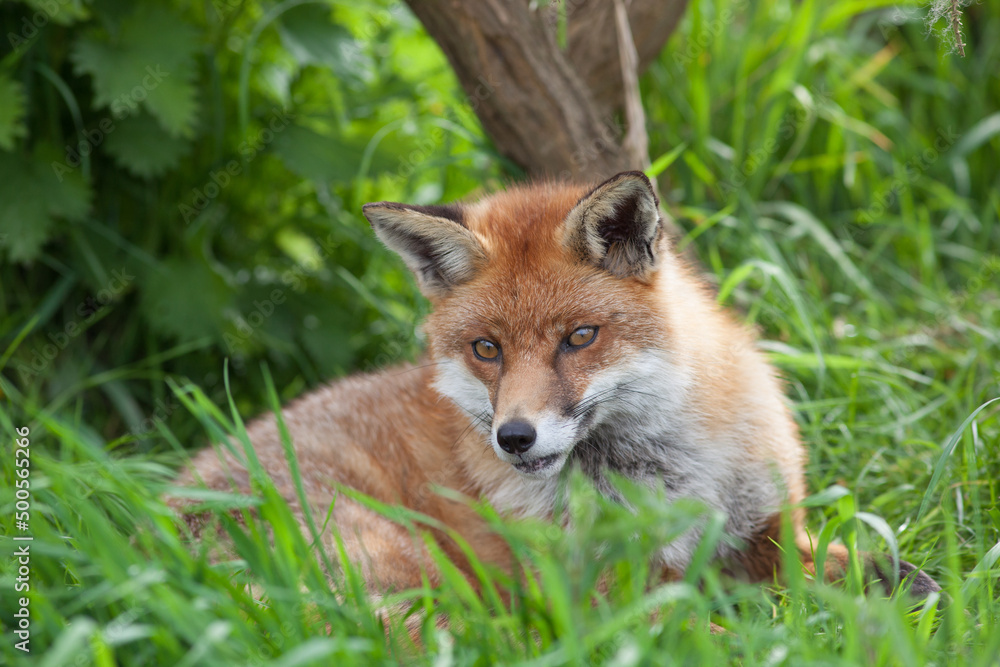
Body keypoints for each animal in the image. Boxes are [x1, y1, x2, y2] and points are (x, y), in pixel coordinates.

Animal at [174, 172, 936, 600]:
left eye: (579, 337)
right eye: (487, 349)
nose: (514, 437)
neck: (665, 478)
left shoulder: (768, 532)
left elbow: (889, 570)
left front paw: (913, 590)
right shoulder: (609, 594)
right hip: (412, 565)